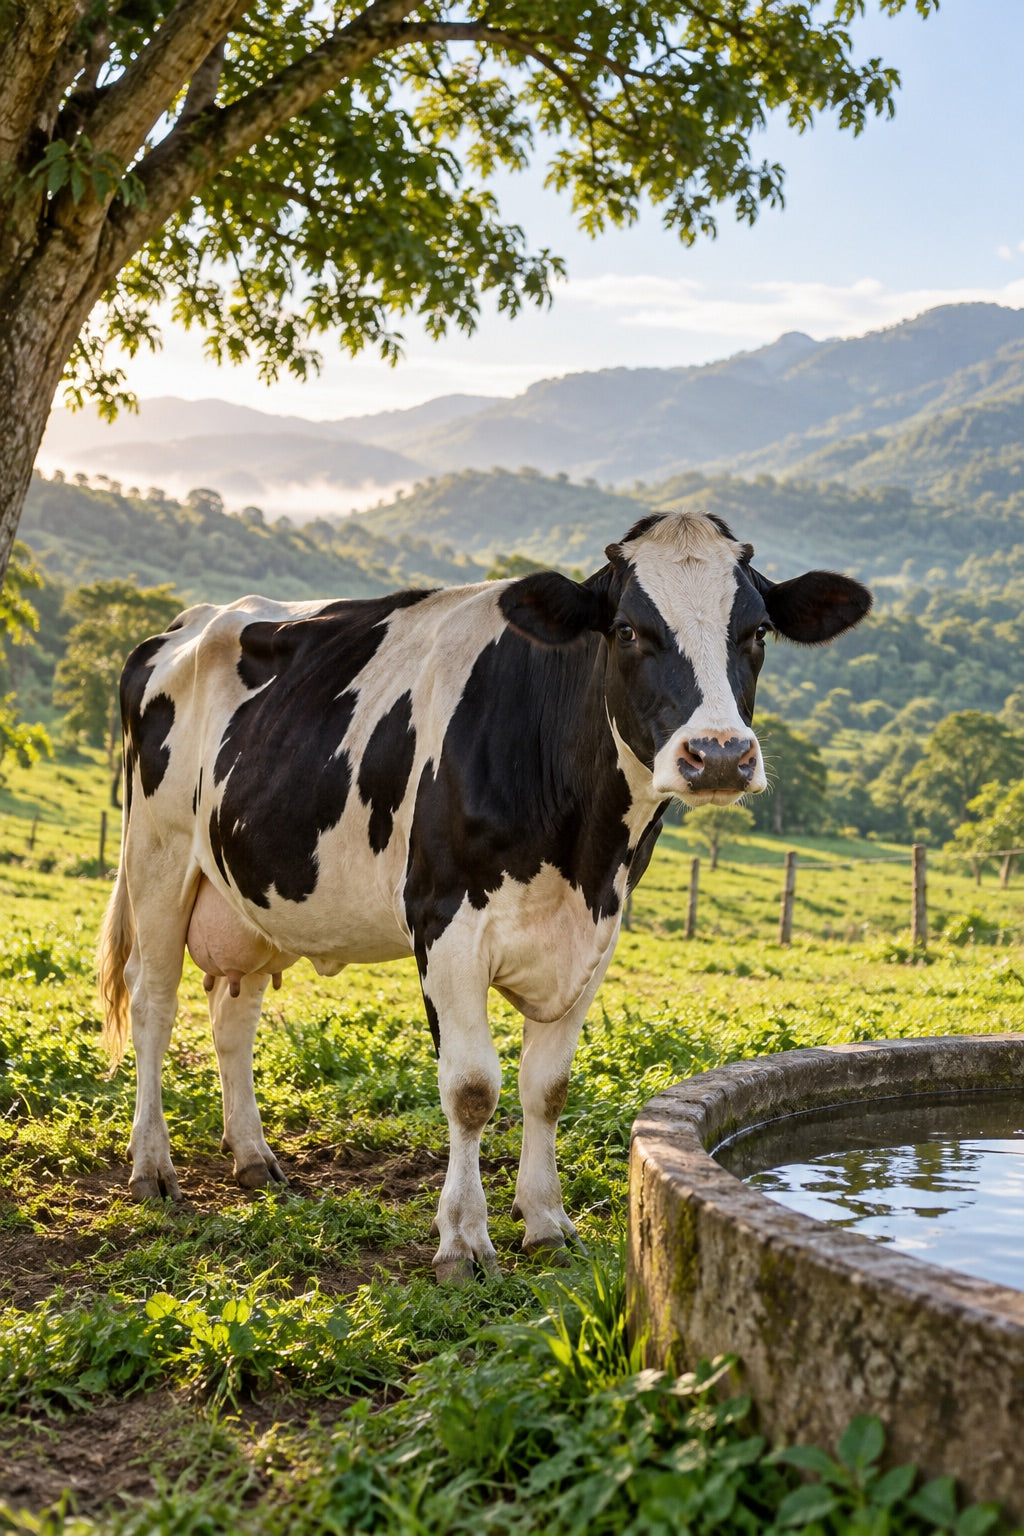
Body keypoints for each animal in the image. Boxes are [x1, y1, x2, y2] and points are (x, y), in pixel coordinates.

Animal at [98, 511, 871, 1281]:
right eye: (627, 630)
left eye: (758, 631)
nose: (718, 755)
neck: (580, 853)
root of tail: (189, 621)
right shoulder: (445, 925)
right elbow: (472, 1090)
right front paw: (465, 1241)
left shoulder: (595, 934)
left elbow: (547, 1088)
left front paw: (547, 1222)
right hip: (158, 857)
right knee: (154, 1002)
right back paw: (152, 1166)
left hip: (248, 893)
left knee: (233, 1014)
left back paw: (254, 1157)